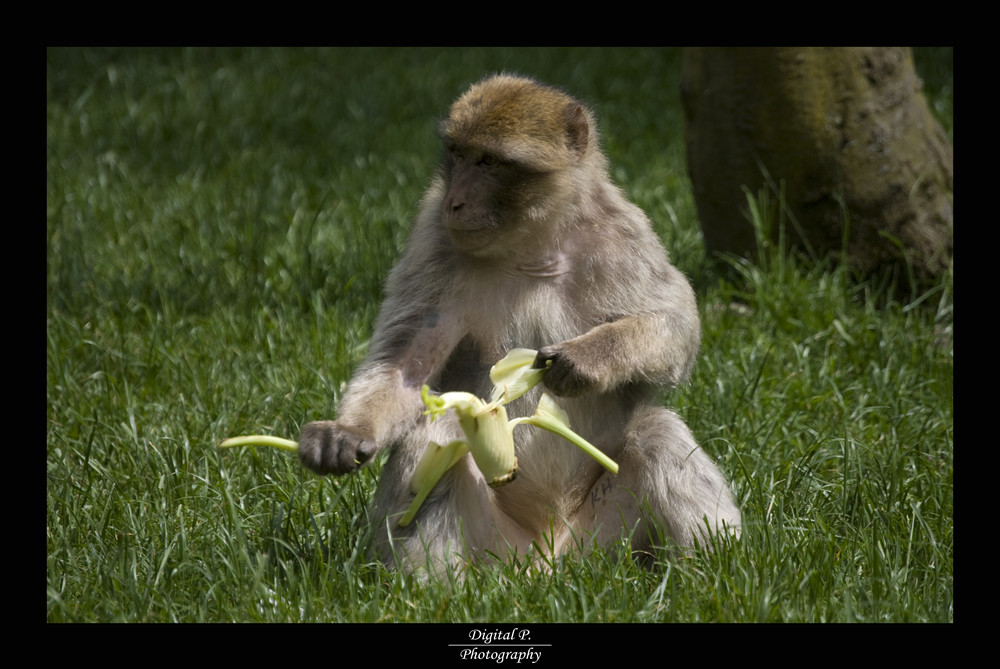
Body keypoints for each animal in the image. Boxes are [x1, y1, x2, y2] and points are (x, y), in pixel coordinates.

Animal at [296, 74, 744, 576]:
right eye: (457, 154)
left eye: (489, 162)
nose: (455, 201)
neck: (531, 246)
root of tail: (545, 559)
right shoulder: (434, 239)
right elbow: (406, 368)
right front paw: (348, 432)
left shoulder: (625, 234)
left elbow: (675, 323)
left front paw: (586, 359)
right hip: (498, 549)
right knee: (435, 437)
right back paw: (430, 586)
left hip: (604, 544)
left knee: (657, 433)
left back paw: (709, 570)